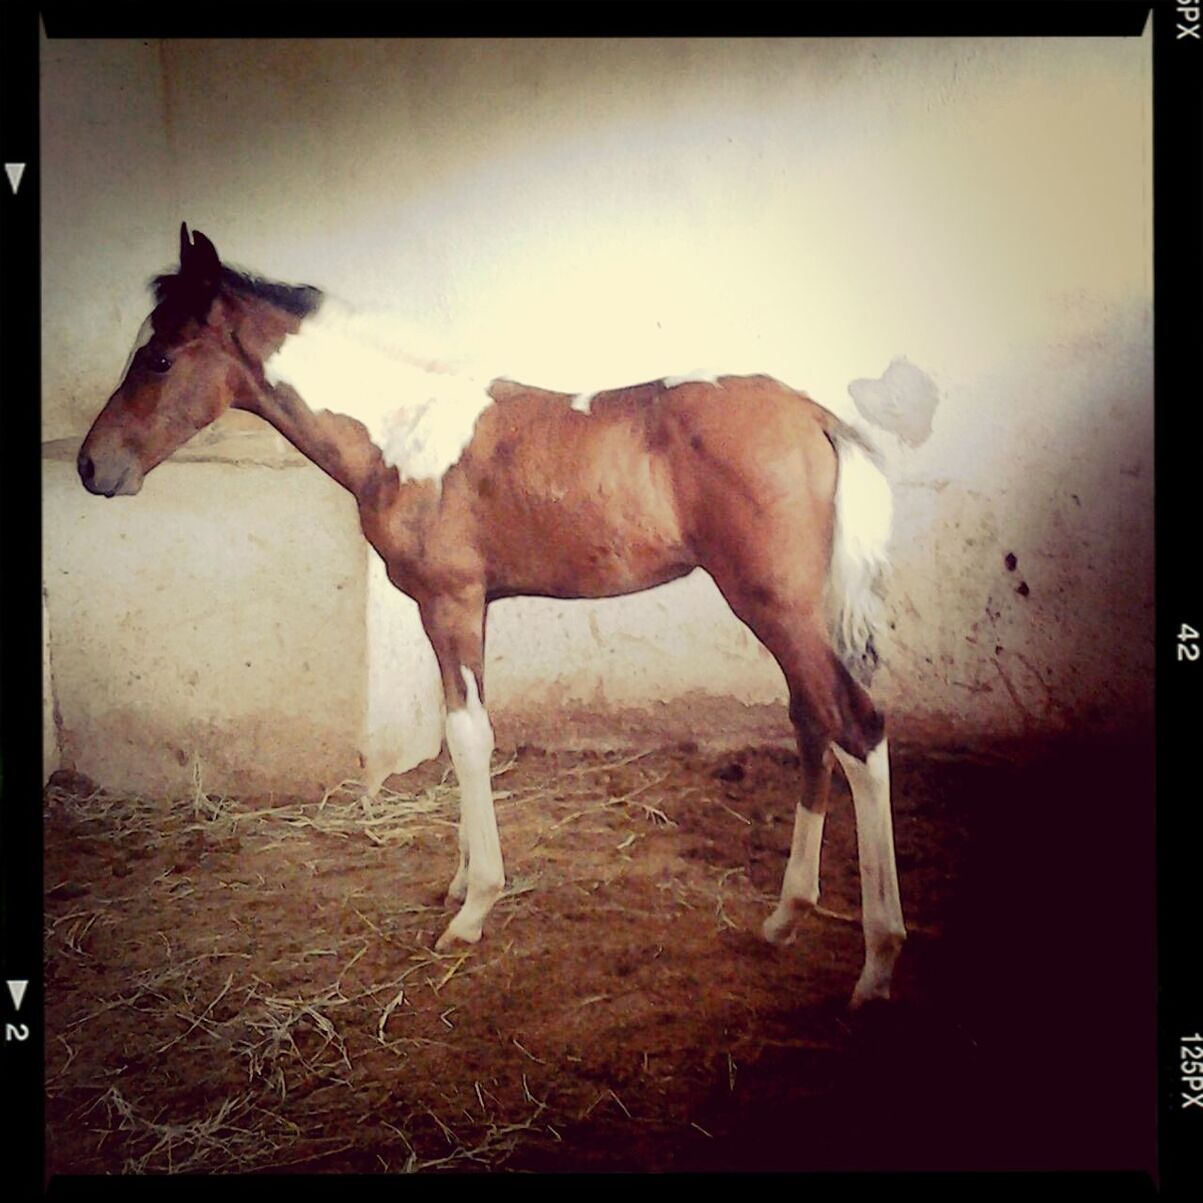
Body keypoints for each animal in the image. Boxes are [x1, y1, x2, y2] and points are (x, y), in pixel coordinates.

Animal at [77, 223, 904, 1005]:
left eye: (158, 358)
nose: (90, 466)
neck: (401, 433)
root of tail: (814, 414)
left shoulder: (451, 602)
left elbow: (470, 739)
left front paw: (474, 907)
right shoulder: (459, 610)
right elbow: (456, 731)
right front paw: (459, 882)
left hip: (772, 606)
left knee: (855, 727)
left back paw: (876, 961)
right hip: (790, 612)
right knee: (811, 724)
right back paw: (785, 914)